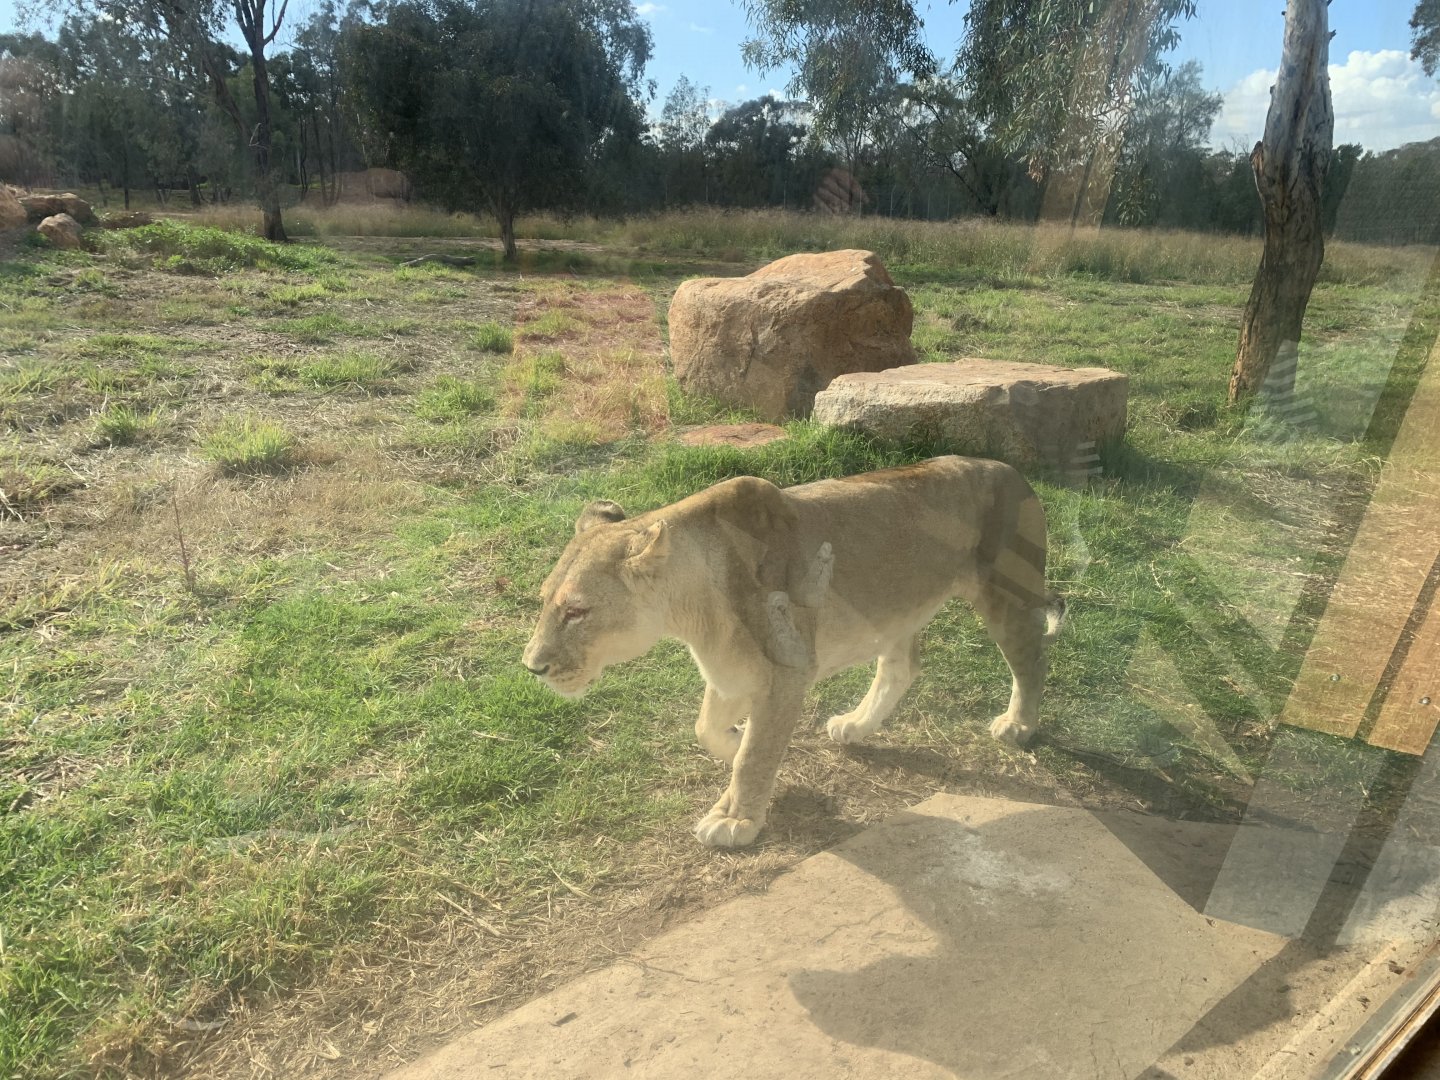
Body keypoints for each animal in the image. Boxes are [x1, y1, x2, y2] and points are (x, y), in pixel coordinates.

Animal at [522, 455, 1064, 848]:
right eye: (545, 600)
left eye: (576, 611)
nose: (532, 666)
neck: (691, 607)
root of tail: (1014, 470)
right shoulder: (730, 673)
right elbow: (708, 729)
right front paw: (737, 741)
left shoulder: (788, 670)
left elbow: (755, 757)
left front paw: (735, 819)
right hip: (893, 609)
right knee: (903, 666)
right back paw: (856, 724)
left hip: (1007, 593)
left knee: (1031, 660)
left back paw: (1017, 726)